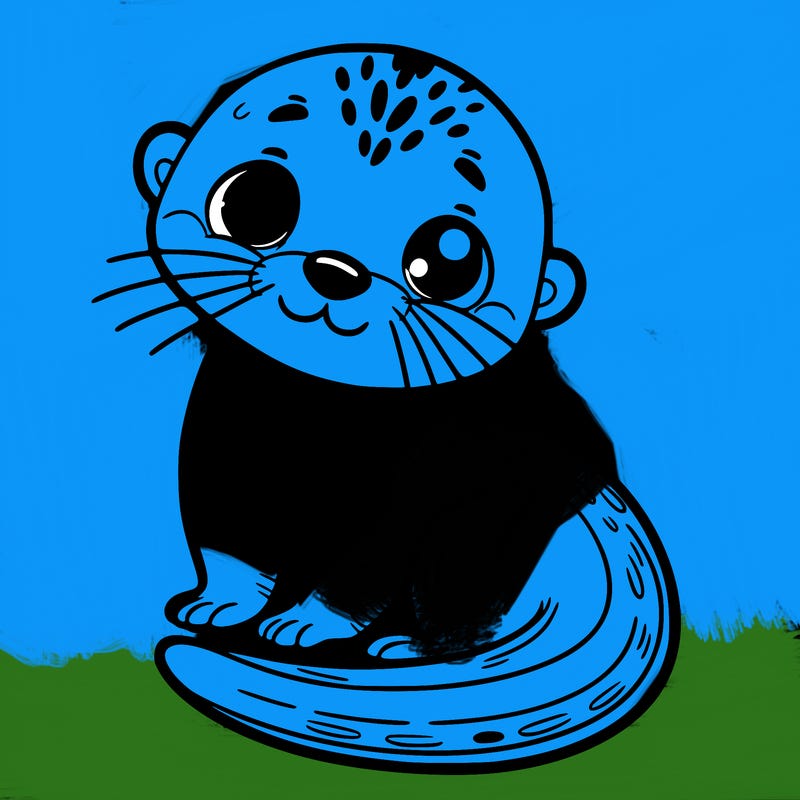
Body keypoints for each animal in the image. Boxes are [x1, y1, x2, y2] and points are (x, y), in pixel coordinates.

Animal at [98, 45, 679, 771]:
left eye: (449, 259)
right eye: (253, 201)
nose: (334, 270)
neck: (315, 406)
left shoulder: (418, 478)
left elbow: (364, 563)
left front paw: (307, 621)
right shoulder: (223, 426)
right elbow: (228, 533)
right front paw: (221, 601)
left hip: (485, 528)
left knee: (462, 603)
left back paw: (406, 646)